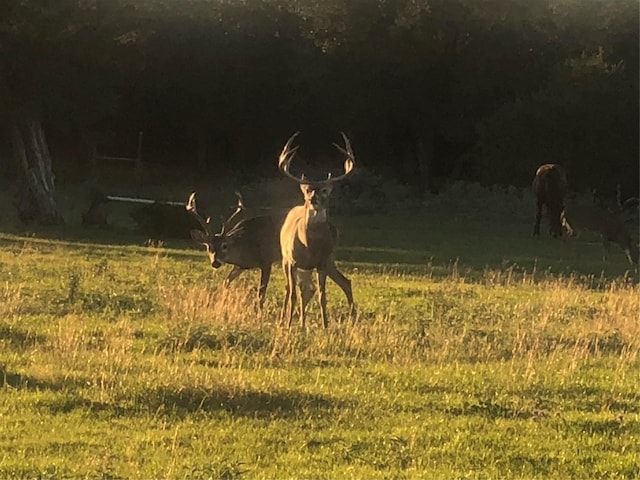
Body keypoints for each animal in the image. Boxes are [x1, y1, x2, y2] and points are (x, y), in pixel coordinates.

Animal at [186, 192, 314, 310]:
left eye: (224, 246)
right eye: (209, 247)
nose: (215, 263)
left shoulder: (266, 260)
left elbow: (261, 293)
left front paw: (259, 314)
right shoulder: (240, 266)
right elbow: (226, 282)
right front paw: (222, 304)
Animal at [278, 131, 358, 328]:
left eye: (324, 191)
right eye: (307, 190)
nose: (313, 199)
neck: (309, 245)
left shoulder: (321, 263)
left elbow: (322, 296)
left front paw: (325, 325)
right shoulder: (292, 261)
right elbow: (293, 293)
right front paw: (289, 325)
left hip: (328, 260)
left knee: (341, 283)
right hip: (285, 259)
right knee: (291, 289)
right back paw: (286, 320)